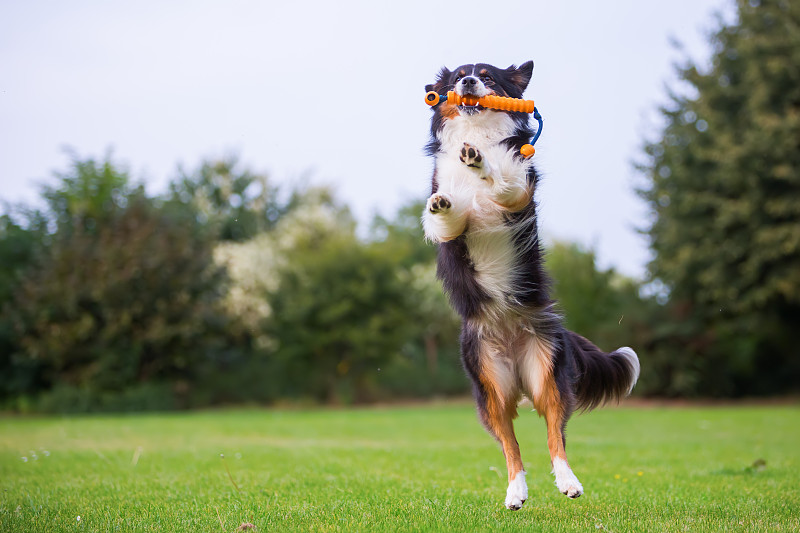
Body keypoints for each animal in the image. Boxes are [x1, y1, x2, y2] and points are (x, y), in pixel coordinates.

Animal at [422, 62, 640, 512]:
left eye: (487, 75)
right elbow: (445, 215)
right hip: (491, 390)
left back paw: (568, 482)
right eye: (457, 76)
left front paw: (480, 162)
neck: (479, 133)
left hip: (547, 376)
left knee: (555, 436)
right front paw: (444, 200)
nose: (468, 83)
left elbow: (505, 180)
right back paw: (516, 492)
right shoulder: (449, 231)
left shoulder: (519, 193)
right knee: (511, 446)